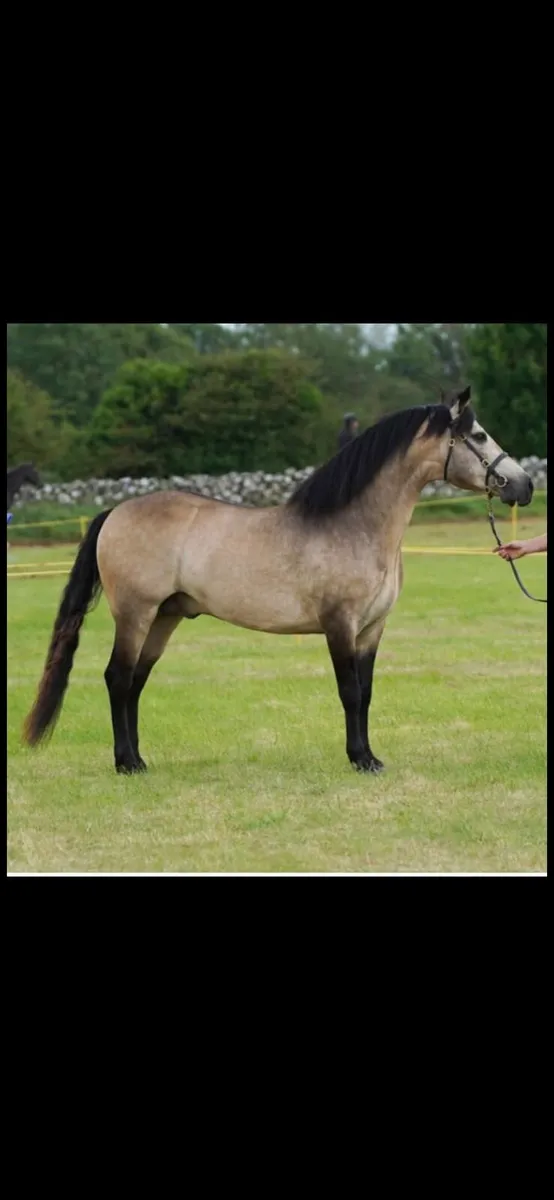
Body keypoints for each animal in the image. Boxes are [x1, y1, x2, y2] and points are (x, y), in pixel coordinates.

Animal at [23, 387, 533, 776]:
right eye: (479, 436)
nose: (524, 485)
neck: (355, 526)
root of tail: (115, 512)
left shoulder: (371, 629)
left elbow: (366, 693)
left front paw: (370, 756)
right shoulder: (340, 625)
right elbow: (349, 692)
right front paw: (358, 760)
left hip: (165, 617)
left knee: (135, 683)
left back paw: (139, 759)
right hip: (135, 613)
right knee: (117, 678)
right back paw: (126, 764)